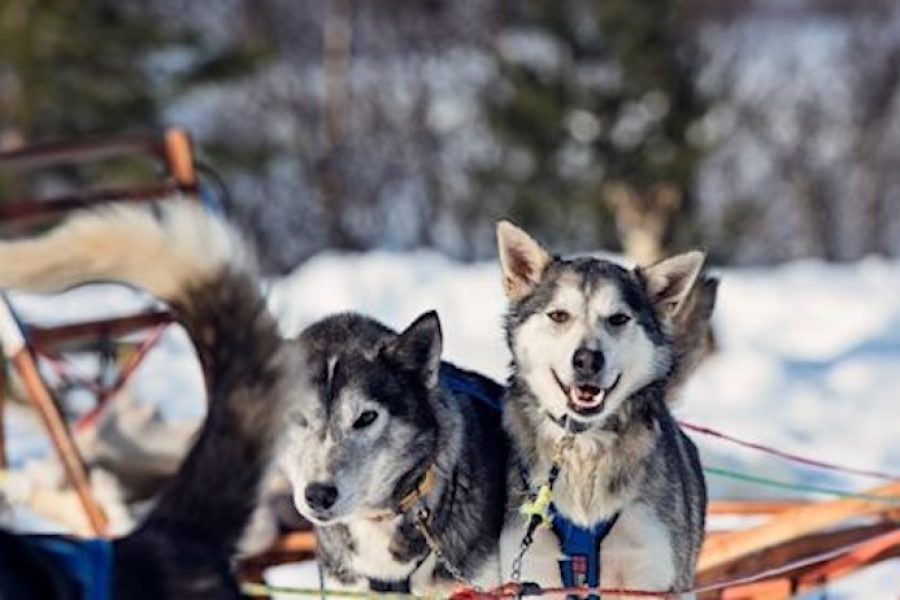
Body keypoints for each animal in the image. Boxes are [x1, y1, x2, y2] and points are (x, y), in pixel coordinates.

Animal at [500, 221, 712, 596]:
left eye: (618, 318)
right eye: (559, 315)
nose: (587, 359)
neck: (583, 445)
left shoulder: (652, 580)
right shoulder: (536, 575)